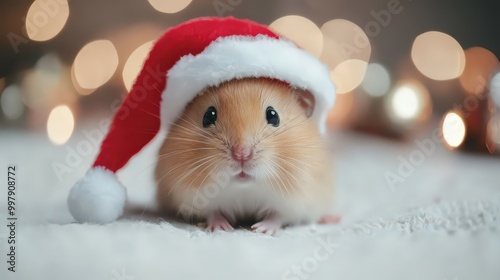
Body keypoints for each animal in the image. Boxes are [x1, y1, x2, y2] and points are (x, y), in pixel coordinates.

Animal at [155, 77, 336, 234]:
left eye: (273, 115)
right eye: (208, 116)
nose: (242, 154)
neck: (245, 190)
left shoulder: (296, 201)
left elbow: (277, 217)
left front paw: (260, 229)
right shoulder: (191, 196)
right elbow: (213, 213)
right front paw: (222, 228)